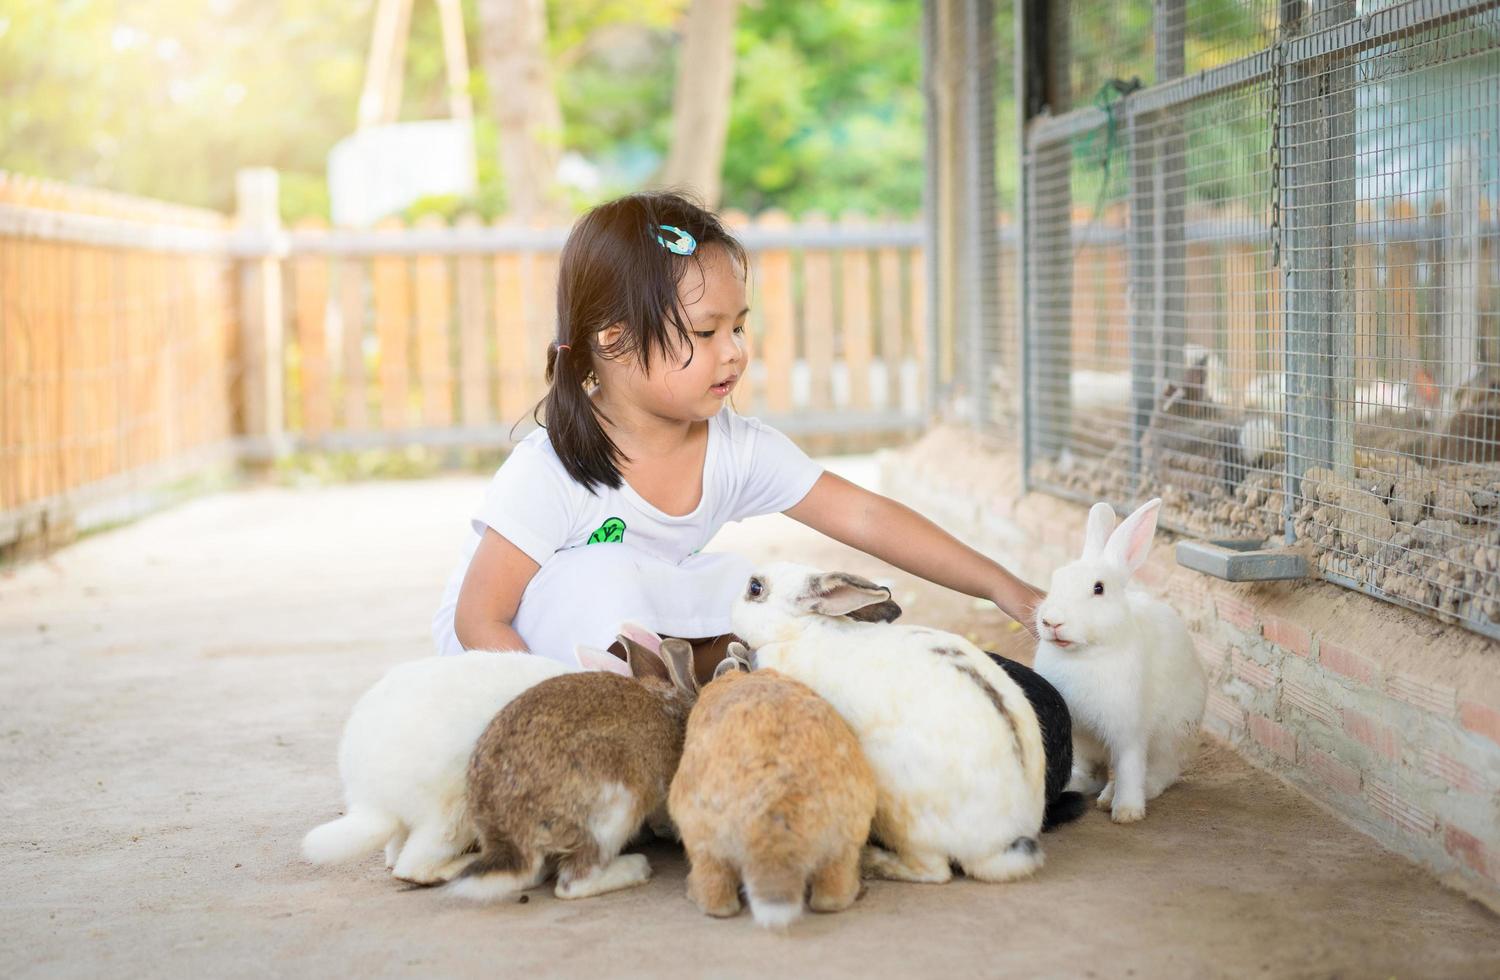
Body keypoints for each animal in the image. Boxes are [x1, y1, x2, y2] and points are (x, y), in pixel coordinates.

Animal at [735, 561, 1044, 882]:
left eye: (755, 588)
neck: (802, 630)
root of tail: (1002, 843)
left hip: (898, 813)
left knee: (934, 871)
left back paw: (872, 861)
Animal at [1032, 498, 1206, 828]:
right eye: (1056, 579)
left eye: (1098, 588)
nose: (1052, 621)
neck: (1085, 654)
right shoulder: (1078, 732)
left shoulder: (1129, 732)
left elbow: (1129, 768)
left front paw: (1127, 811)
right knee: (1095, 773)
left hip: (1168, 736)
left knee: (1163, 772)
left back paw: (1121, 794)